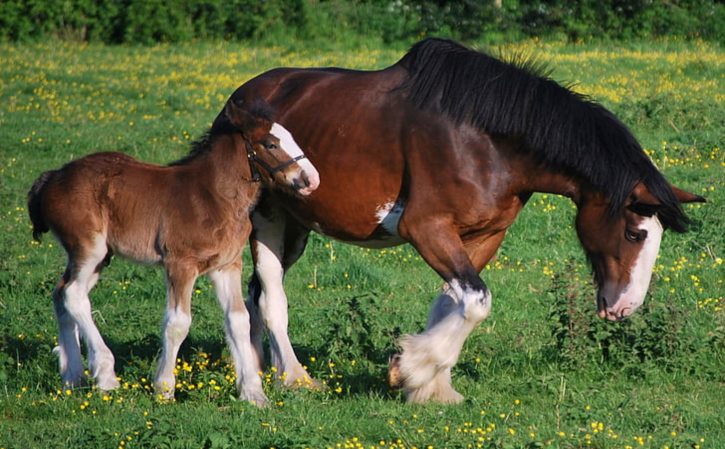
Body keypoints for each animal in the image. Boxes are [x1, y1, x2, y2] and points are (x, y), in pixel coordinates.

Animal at [29, 98, 316, 406]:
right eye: (271, 144)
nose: (310, 179)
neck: (213, 196)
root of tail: (52, 177)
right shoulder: (180, 264)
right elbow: (178, 323)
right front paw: (164, 388)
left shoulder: (226, 265)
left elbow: (239, 320)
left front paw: (253, 393)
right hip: (88, 248)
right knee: (73, 295)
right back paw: (105, 376)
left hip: (97, 257)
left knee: (61, 293)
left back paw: (73, 376)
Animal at [218, 39, 704, 402]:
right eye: (635, 232)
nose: (625, 307)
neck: (486, 139)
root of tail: (238, 103)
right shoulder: (426, 229)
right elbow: (476, 301)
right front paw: (411, 371)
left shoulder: (483, 236)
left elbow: (454, 301)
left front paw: (430, 385)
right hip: (268, 219)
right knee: (270, 297)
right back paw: (294, 377)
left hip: (297, 228)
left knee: (257, 293)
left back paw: (260, 368)